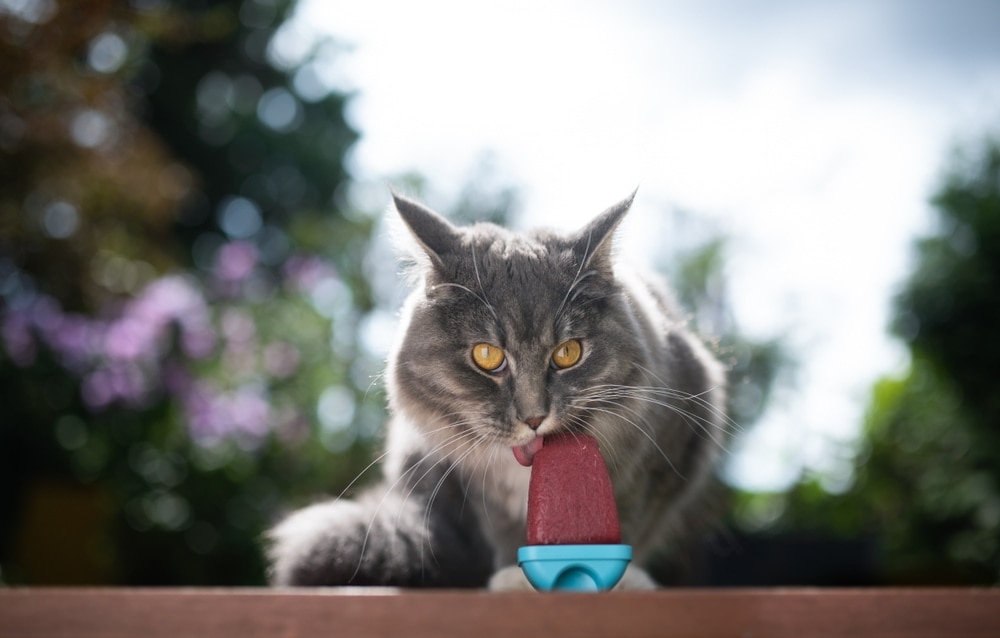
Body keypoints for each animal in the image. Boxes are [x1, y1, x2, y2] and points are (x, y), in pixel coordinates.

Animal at [268, 191, 728, 592]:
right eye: (487, 356)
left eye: (568, 353)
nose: (534, 417)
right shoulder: (472, 484)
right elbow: (504, 533)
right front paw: (516, 578)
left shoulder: (668, 452)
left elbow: (629, 520)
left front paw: (619, 580)